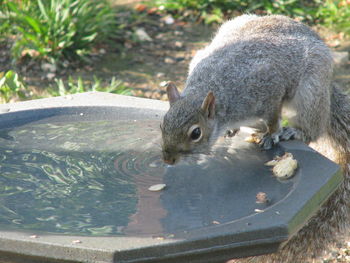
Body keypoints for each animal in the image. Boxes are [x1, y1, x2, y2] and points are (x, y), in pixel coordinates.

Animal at [159, 14, 350, 263]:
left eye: (195, 133)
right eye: (162, 124)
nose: (168, 159)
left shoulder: (268, 88)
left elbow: (273, 118)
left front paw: (271, 135)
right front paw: (234, 131)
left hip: (311, 91)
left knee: (313, 127)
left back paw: (294, 131)